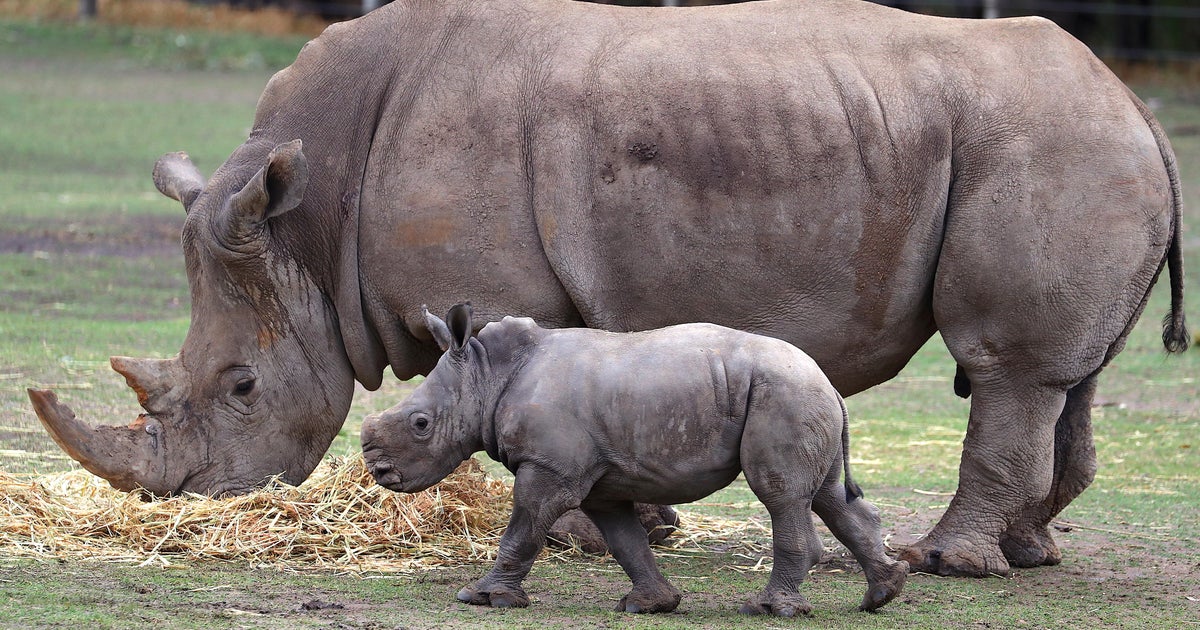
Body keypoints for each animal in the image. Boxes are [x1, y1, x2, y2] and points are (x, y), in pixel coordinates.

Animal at [28, 0, 1187, 578]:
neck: (311, 225)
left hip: (1049, 141)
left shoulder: (499, 294)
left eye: (241, 389)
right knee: (1069, 378)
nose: (196, 505)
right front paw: (641, 532)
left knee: (1007, 368)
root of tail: (1136, 102)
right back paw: (1029, 553)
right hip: (1073, 144)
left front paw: (579, 540)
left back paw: (946, 564)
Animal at [361, 304, 909, 615]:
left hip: (785, 395)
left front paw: (482, 599)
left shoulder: (550, 468)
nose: (378, 470)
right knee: (828, 495)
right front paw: (649, 606)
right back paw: (882, 595)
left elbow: (524, 527)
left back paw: (768, 610)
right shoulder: (599, 476)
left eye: (420, 424)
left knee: (782, 496)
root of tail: (827, 382)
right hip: (798, 395)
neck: (486, 374)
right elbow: (626, 542)